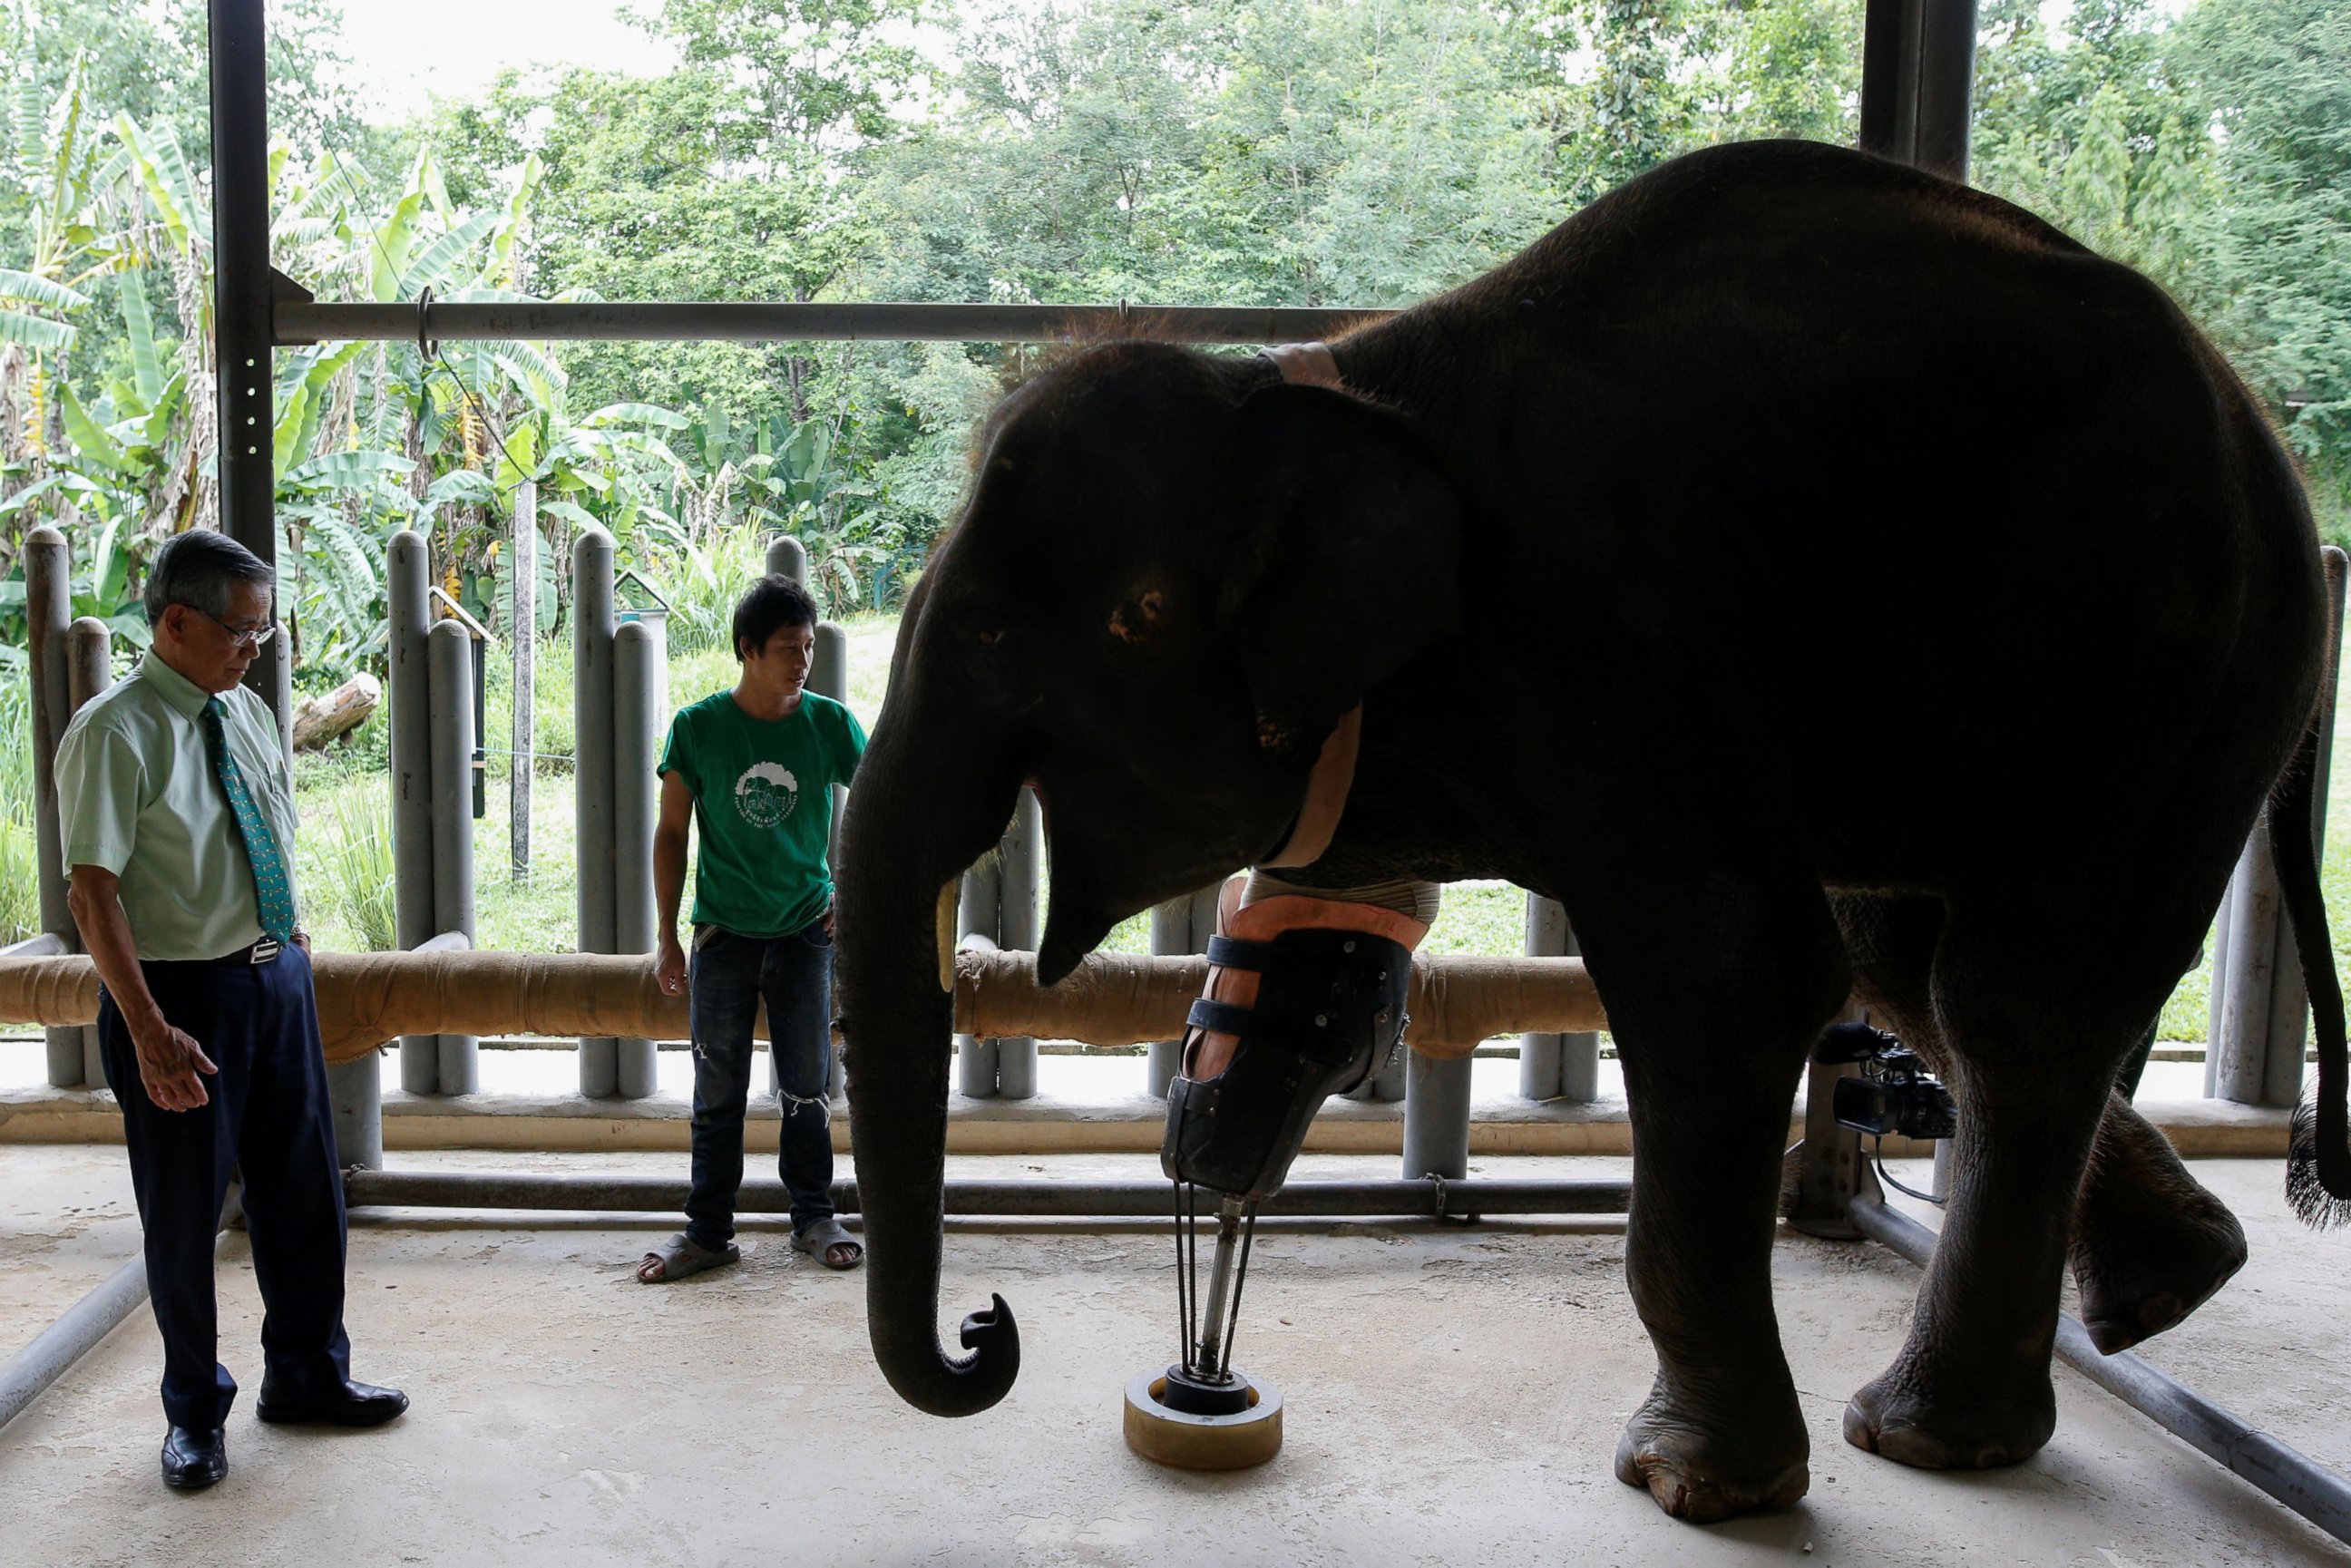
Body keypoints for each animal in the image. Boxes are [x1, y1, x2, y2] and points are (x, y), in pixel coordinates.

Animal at [832, 141, 2351, 1523]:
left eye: (992, 634)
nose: (987, 1328)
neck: (1331, 389)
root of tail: (2262, 428)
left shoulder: (1625, 640)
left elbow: (1730, 978)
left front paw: (1690, 1484)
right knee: (1919, 968)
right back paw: (2151, 1301)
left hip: (2176, 677)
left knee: (2013, 992)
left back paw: (1940, 1428)